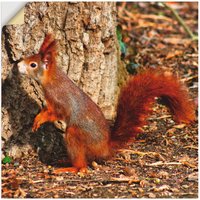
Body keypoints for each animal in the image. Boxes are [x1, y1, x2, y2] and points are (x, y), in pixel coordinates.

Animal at [17, 34, 195, 173]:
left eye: (33, 64)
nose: (18, 65)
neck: (52, 79)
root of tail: (105, 147)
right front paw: (37, 118)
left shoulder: (61, 101)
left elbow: (56, 113)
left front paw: (40, 120)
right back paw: (65, 161)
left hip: (75, 134)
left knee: (82, 165)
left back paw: (71, 168)